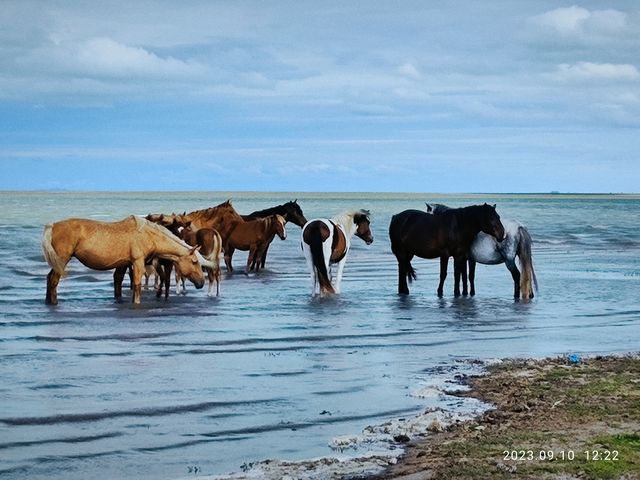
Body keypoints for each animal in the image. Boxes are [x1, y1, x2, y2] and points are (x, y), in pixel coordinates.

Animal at [41, 217, 214, 304]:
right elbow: (136, 286)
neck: (148, 235)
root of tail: (52, 226)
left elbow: (118, 283)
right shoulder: (137, 262)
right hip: (62, 260)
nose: (201, 283)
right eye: (194, 262)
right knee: (54, 280)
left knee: (49, 278)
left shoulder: (123, 264)